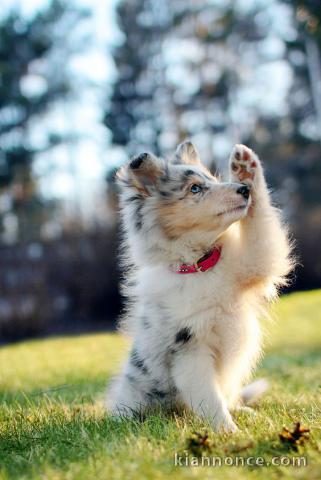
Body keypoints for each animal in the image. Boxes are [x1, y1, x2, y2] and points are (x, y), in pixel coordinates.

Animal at [105, 142, 292, 432]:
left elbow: (259, 226)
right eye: (195, 189)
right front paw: (228, 432)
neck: (200, 266)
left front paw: (246, 167)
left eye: (214, 180)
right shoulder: (189, 348)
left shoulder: (254, 260)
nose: (243, 190)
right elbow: (209, 398)